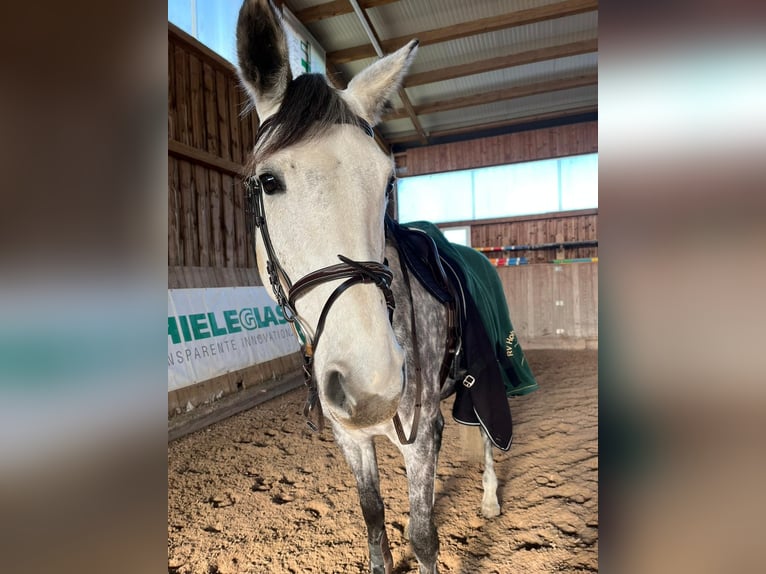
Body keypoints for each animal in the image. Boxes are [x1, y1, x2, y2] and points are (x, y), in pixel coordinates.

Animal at [236, 1, 501, 572]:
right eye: (268, 181)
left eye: (387, 181)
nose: (373, 385)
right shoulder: (352, 439)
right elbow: (374, 518)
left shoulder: (420, 439)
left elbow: (422, 536)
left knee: (490, 436)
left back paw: (491, 498)